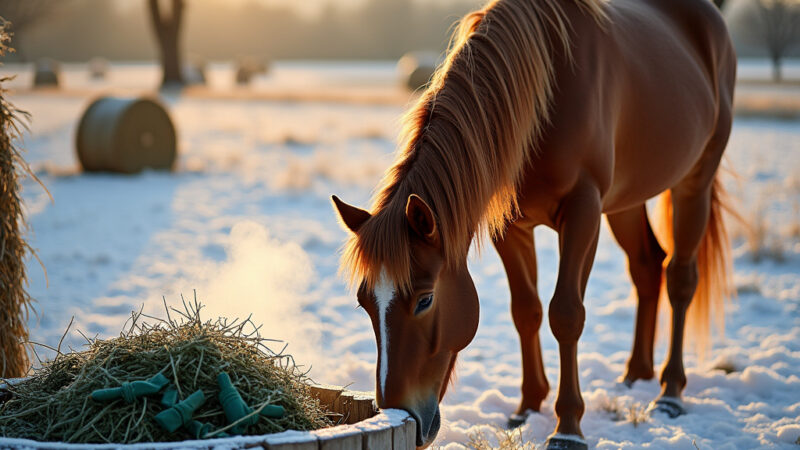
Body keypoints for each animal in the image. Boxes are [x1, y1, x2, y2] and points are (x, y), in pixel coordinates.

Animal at [332, 0, 736, 447]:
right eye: (364, 302)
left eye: (424, 299)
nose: (403, 416)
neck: (546, 97)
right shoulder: (512, 227)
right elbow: (526, 311)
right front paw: (526, 407)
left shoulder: (583, 212)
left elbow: (566, 314)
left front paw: (568, 427)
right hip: (627, 200)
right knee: (647, 267)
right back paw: (636, 374)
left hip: (694, 181)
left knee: (680, 277)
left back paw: (669, 392)